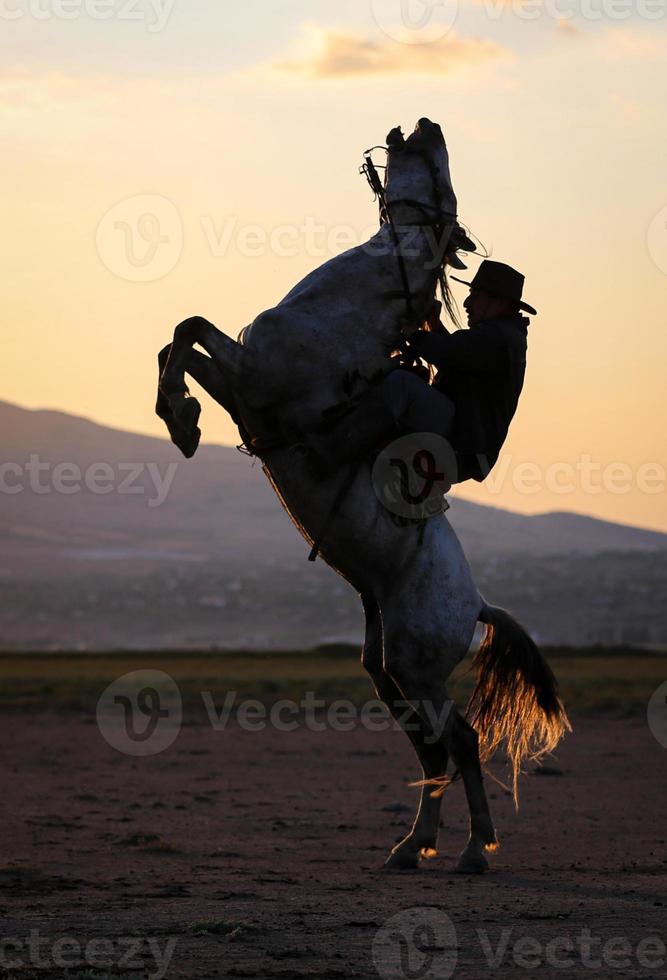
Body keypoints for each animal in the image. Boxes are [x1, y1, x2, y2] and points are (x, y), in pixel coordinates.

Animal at [157, 118, 568, 876]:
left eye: (443, 179)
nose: (427, 124)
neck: (347, 311)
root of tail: (475, 603)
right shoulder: (244, 389)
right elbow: (184, 336)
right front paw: (182, 418)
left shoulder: (254, 383)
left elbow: (186, 331)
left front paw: (180, 418)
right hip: (388, 671)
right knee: (433, 751)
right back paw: (413, 845)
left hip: (418, 665)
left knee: (460, 741)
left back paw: (471, 848)